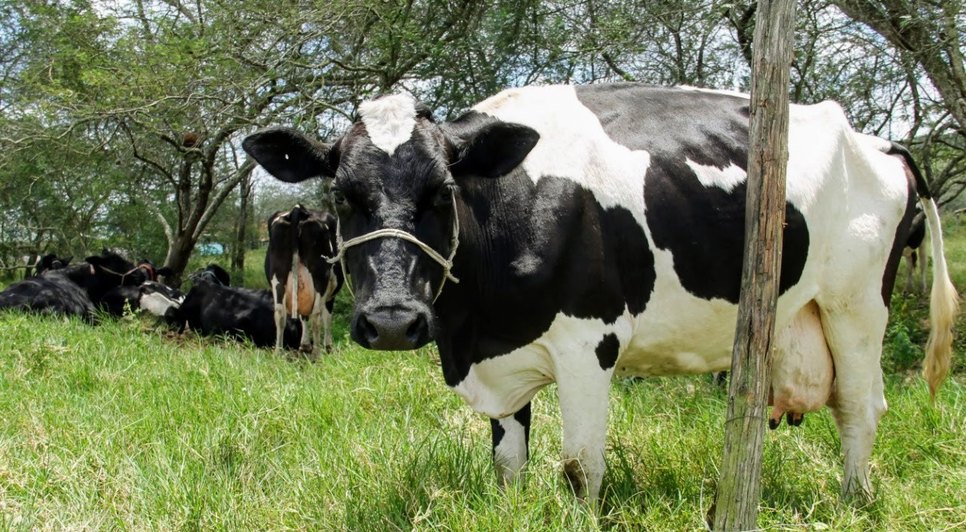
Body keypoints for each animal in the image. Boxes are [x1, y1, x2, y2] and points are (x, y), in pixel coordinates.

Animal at [265, 205, 344, 356]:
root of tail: (298, 209)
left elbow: (303, 315)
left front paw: (305, 344)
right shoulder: (330, 294)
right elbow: (327, 317)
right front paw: (328, 346)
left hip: (278, 277)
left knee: (280, 313)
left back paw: (278, 352)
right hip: (320, 277)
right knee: (316, 315)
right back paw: (317, 353)